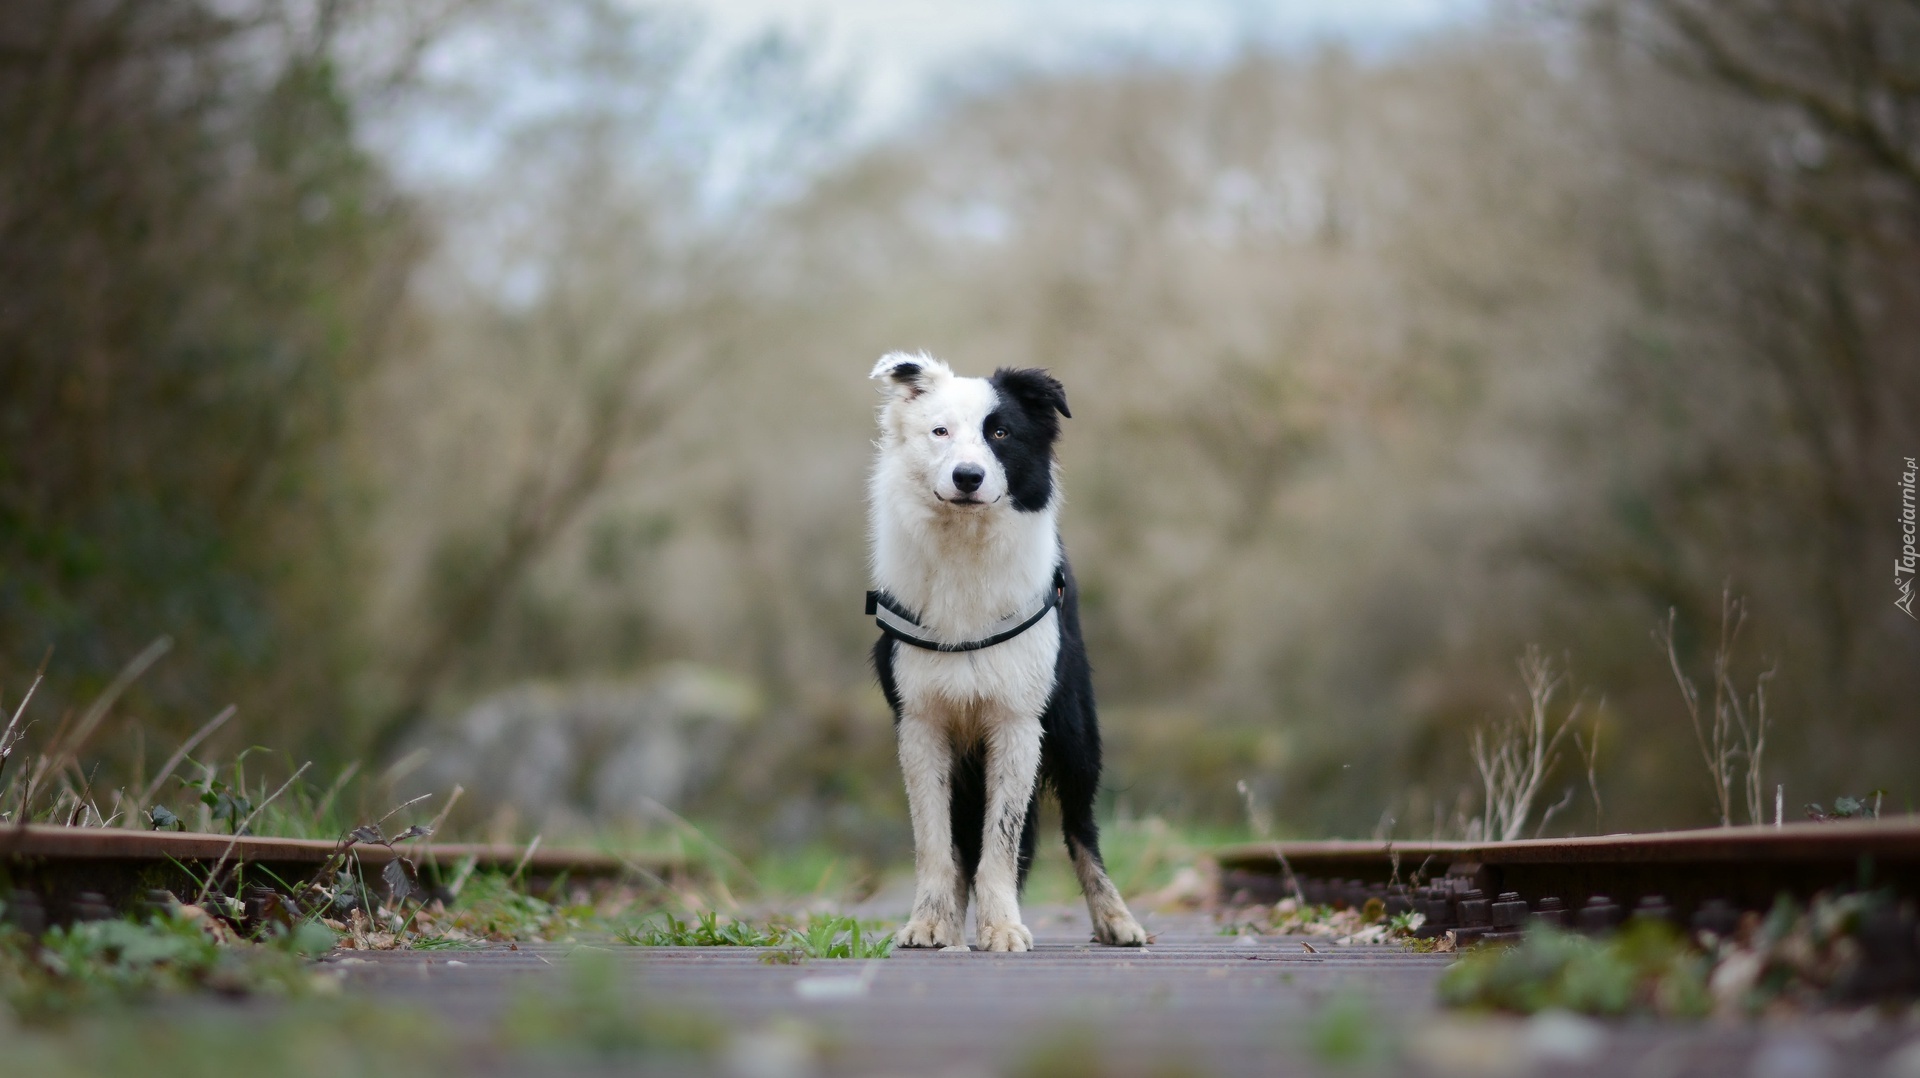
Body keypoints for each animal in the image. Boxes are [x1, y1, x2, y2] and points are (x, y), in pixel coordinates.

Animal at [867, 353, 1144, 949]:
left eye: (1001, 434)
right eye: (940, 432)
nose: (967, 477)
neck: (965, 546)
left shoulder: (1018, 723)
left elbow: (1001, 840)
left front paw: (1002, 926)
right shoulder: (921, 723)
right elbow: (936, 841)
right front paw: (930, 921)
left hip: (1075, 732)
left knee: (1081, 828)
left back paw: (1116, 918)